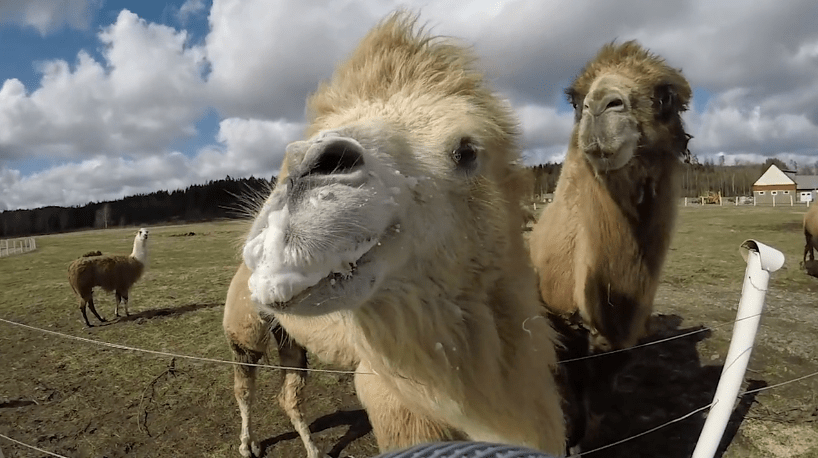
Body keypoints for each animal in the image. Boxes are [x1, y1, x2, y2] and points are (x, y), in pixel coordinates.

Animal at [226, 12, 564, 456]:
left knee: (289, 395)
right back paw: (248, 445)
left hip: (290, 340)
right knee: (244, 386)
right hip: (243, 331)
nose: (302, 167)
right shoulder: (389, 400)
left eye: (467, 151)